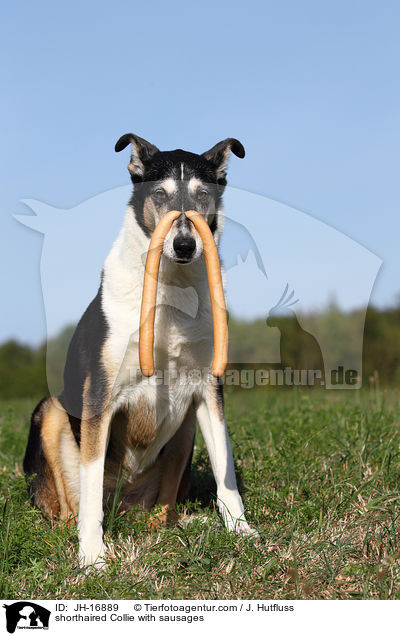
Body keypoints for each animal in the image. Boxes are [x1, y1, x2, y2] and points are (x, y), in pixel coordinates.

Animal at [23, 134, 258, 568]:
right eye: (159, 194)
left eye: (202, 194)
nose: (184, 245)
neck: (171, 289)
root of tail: (127, 508)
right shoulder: (100, 395)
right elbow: (91, 486)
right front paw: (92, 557)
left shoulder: (209, 388)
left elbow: (226, 471)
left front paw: (241, 531)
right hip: (51, 412)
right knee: (71, 509)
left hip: (184, 428)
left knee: (162, 514)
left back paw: (185, 523)